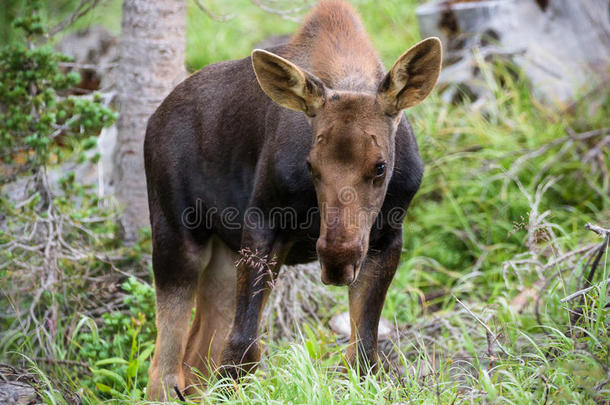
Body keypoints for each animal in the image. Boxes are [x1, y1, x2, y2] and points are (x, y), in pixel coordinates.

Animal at [144, 0, 436, 398]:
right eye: (311, 164)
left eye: (380, 166)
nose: (337, 259)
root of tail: (153, 121)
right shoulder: (263, 221)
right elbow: (243, 348)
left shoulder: (387, 237)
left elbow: (363, 354)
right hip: (178, 236)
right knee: (164, 369)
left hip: (224, 255)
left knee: (195, 357)